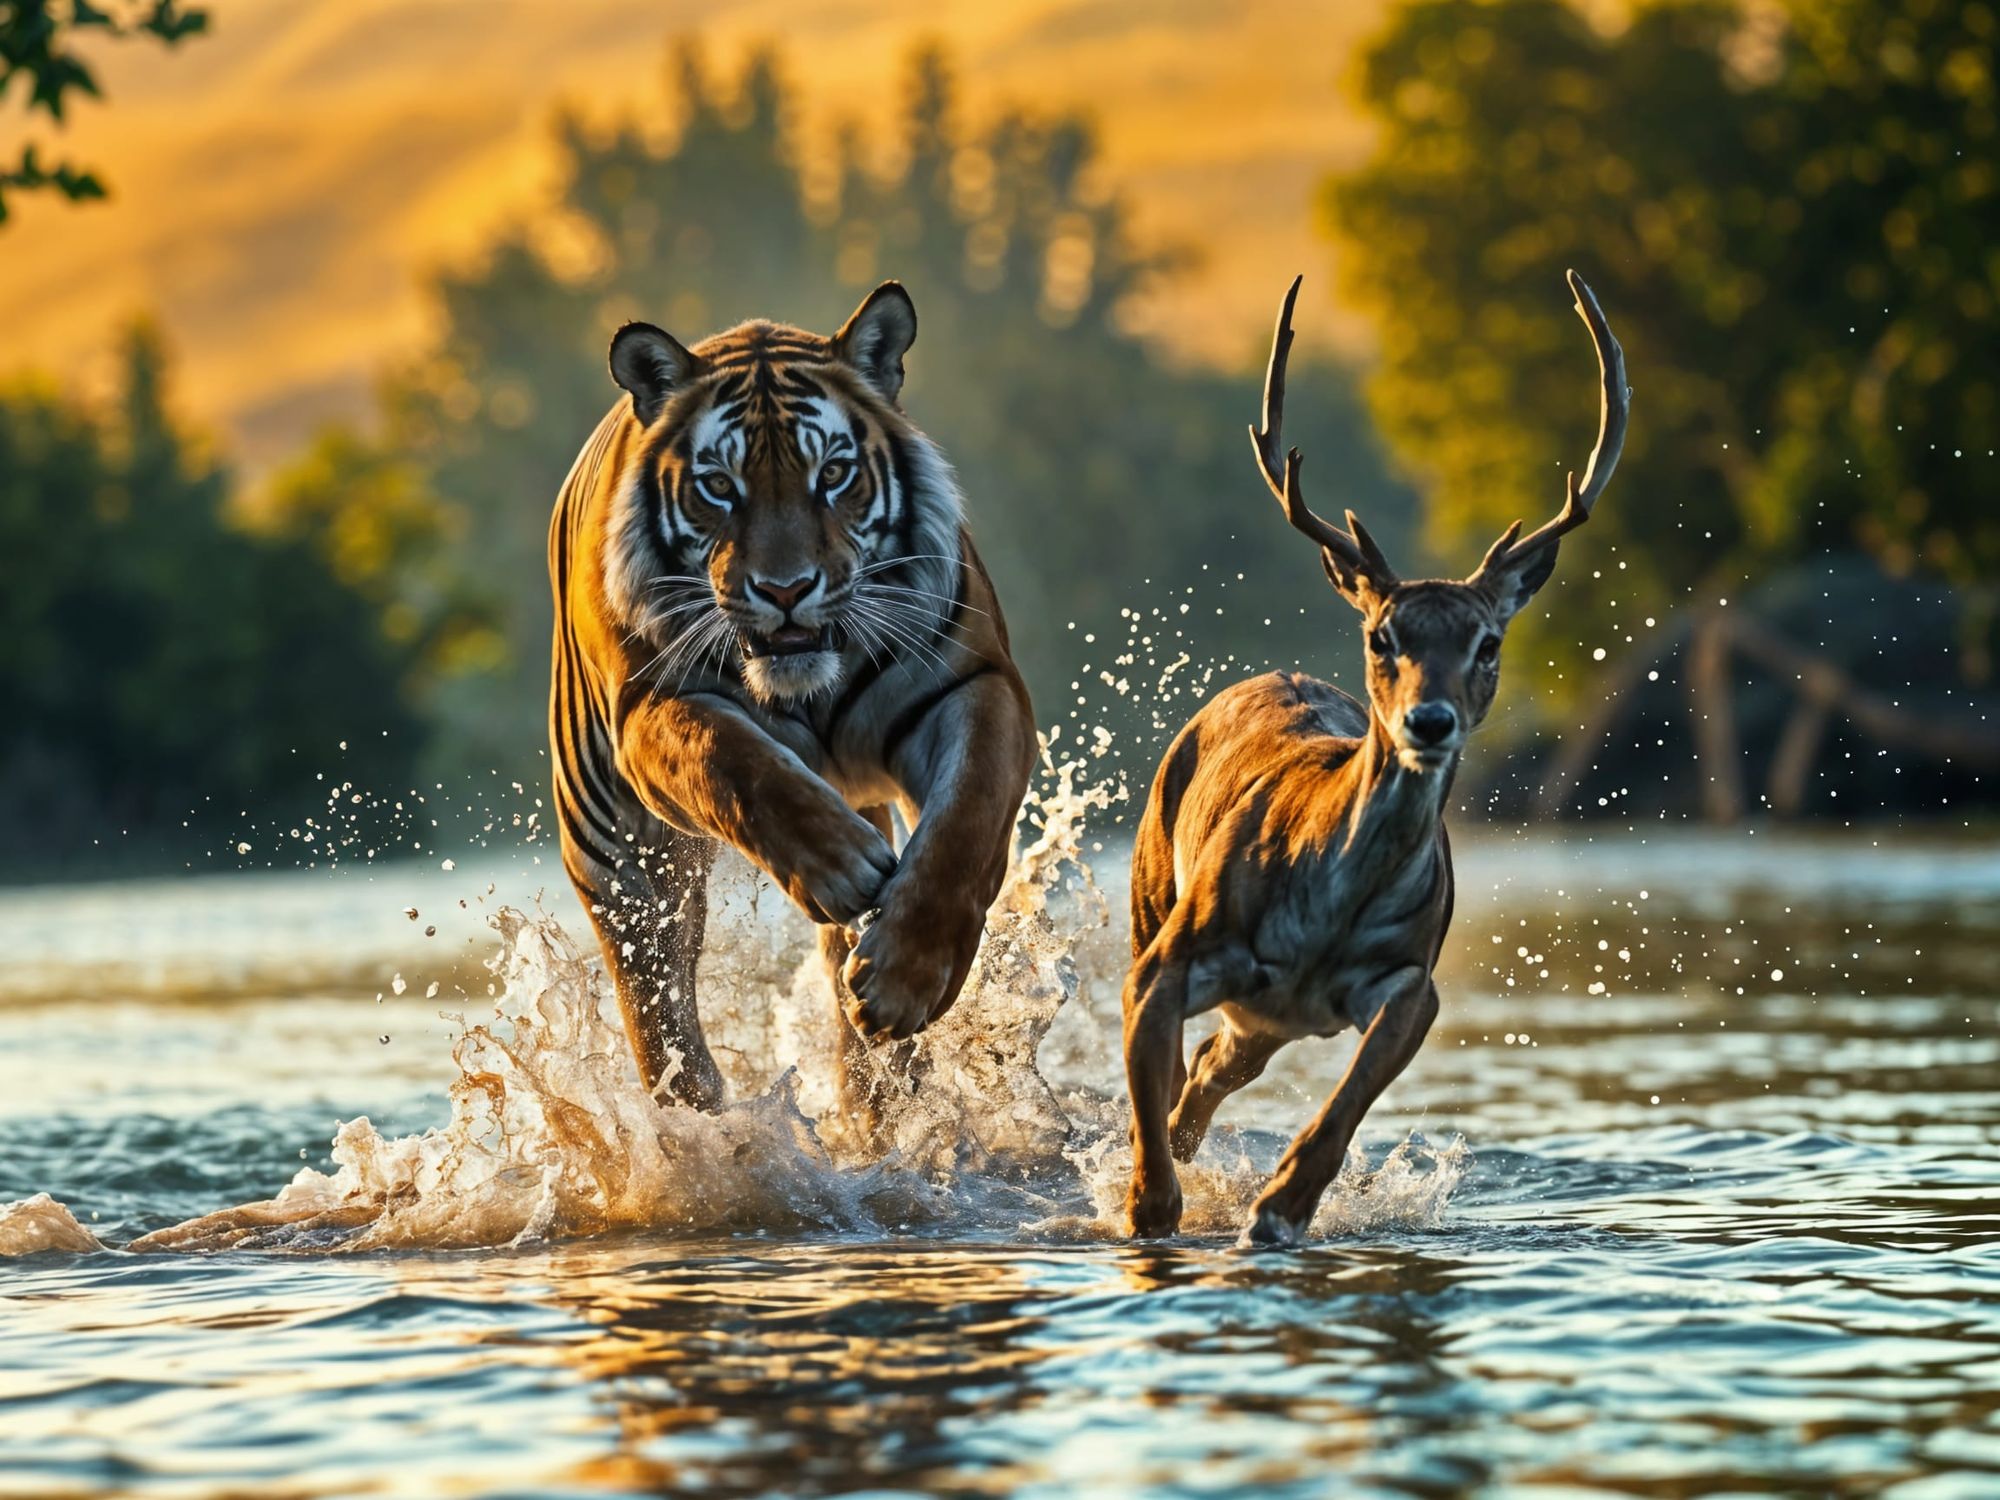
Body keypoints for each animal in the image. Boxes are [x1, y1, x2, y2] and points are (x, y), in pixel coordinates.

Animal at [547, 281, 1037, 1120]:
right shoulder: (653, 712)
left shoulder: (973, 684)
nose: (784, 590)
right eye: (719, 486)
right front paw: (840, 867)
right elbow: (736, 763)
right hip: (617, 851)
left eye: (833, 474)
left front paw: (905, 980)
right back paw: (698, 1118)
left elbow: (966, 820)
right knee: (659, 1004)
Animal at [1121, 269, 1628, 1245]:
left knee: (1208, 1072)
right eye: (1382, 634)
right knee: (1184, 1083)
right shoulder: (1164, 961)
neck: (1320, 919)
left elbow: (1340, 1112)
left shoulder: (1409, 982)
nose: (1429, 722)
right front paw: (1143, 1202)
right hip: (1151, 892)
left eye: (1488, 642)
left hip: (1265, 1021)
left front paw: (1276, 1208)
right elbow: (1148, 1148)